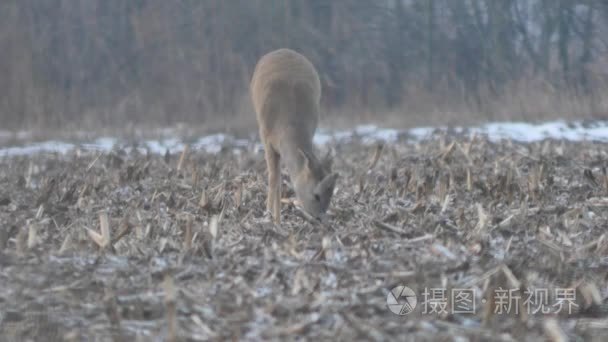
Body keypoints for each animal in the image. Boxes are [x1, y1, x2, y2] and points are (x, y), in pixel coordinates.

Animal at [251, 48, 340, 224]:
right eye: (316, 195)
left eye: (331, 195)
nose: (322, 219)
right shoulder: (266, 137)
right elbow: (274, 178)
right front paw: (270, 218)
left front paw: (277, 219)